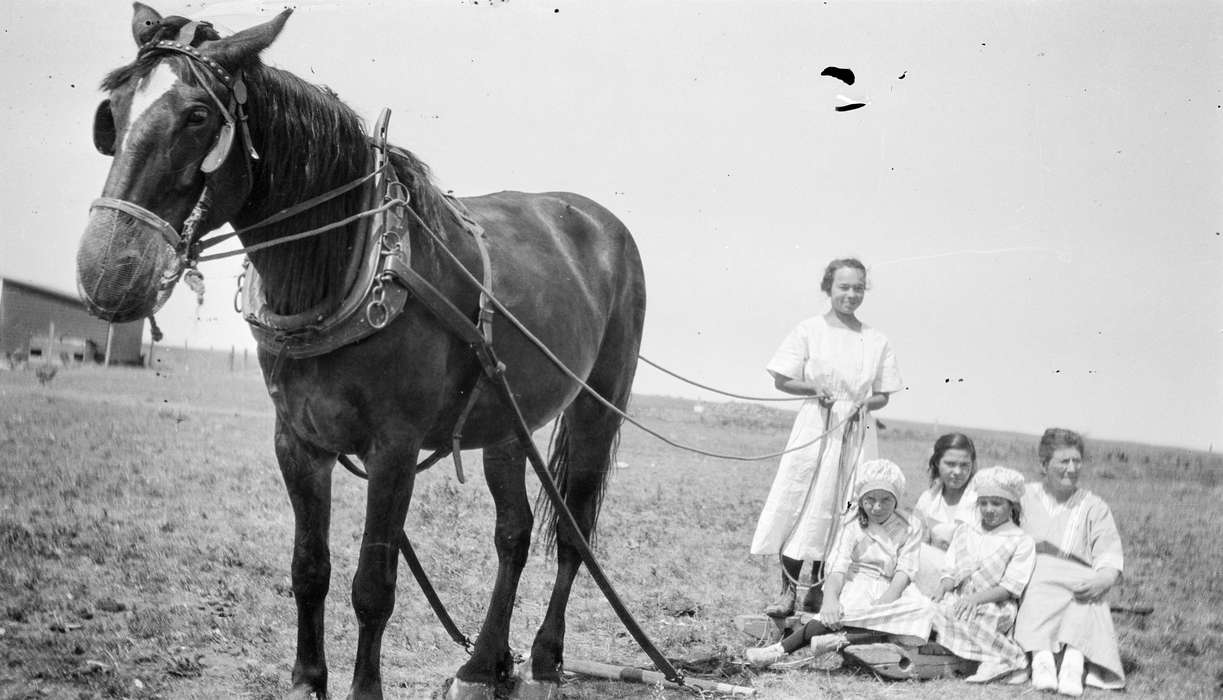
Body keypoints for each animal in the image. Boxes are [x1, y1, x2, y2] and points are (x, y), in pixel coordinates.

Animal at [73, 4, 650, 695]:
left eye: (198, 116)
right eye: (113, 112)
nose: (107, 270)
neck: (350, 259)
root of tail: (599, 222)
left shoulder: (394, 447)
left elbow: (374, 585)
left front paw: (362, 686)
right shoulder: (298, 442)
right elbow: (309, 570)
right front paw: (306, 679)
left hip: (598, 406)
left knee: (572, 532)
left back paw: (543, 656)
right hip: (505, 421)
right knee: (513, 533)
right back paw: (483, 663)